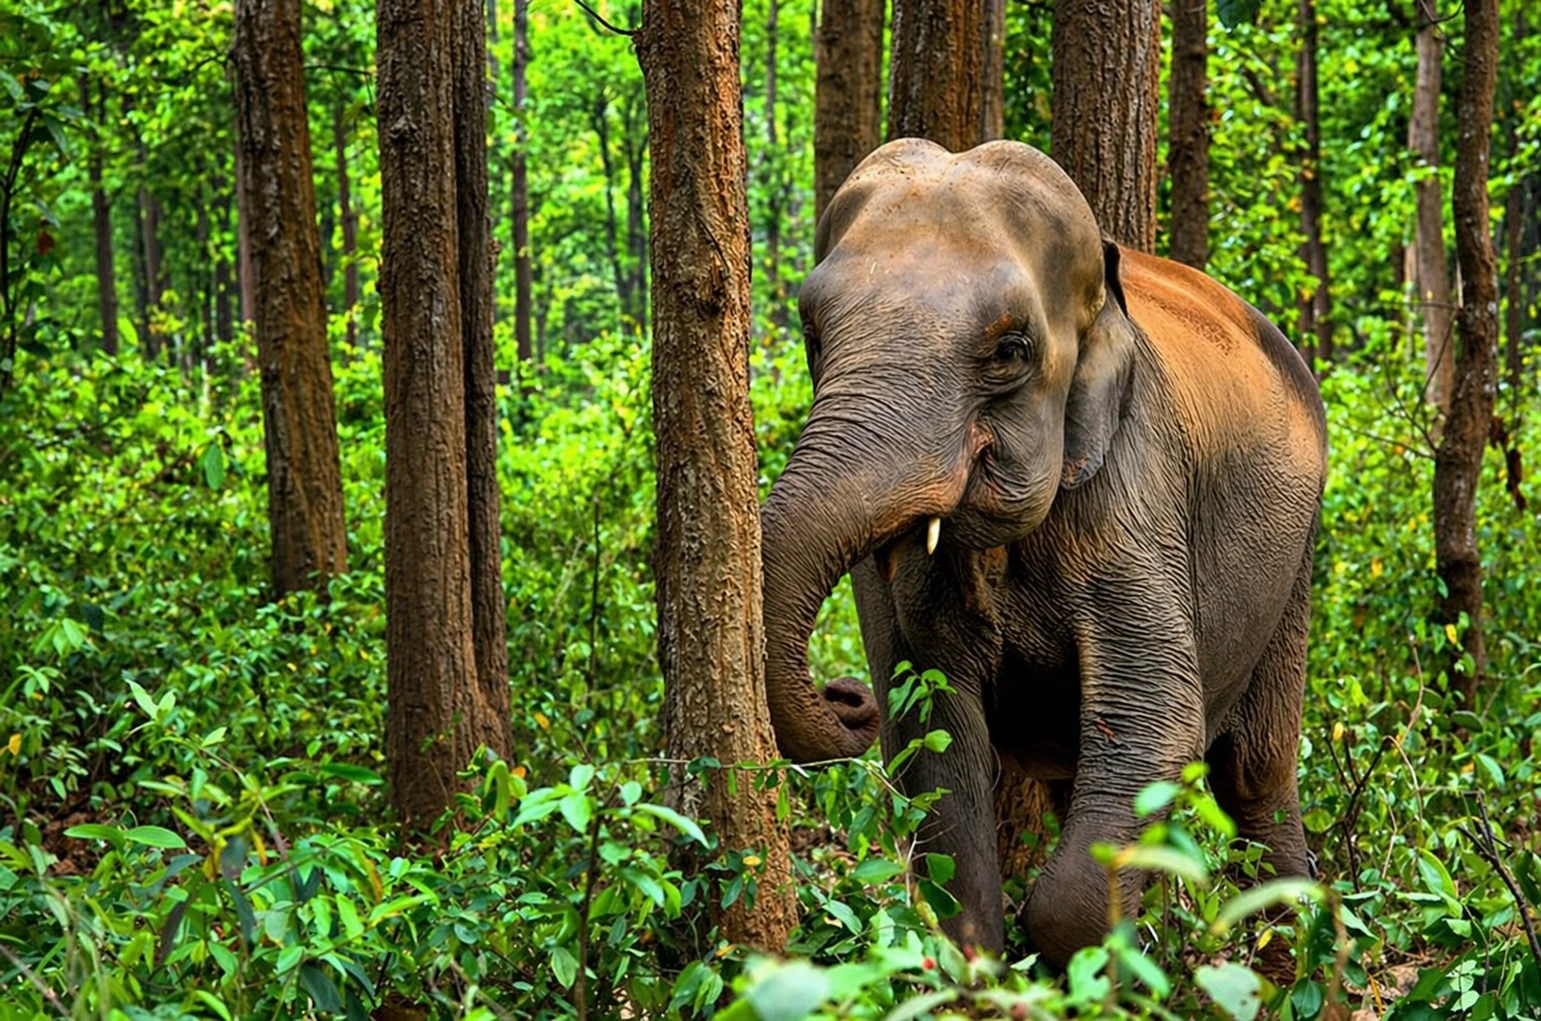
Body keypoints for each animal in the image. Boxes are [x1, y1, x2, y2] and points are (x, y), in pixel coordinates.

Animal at [758, 138, 1326, 965]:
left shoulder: (1133, 488)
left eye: (1010, 349)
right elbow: (931, 734)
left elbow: (1159, 721)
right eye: (812, 334)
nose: (843, 695)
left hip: (1294, 558)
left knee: (1253, 773)